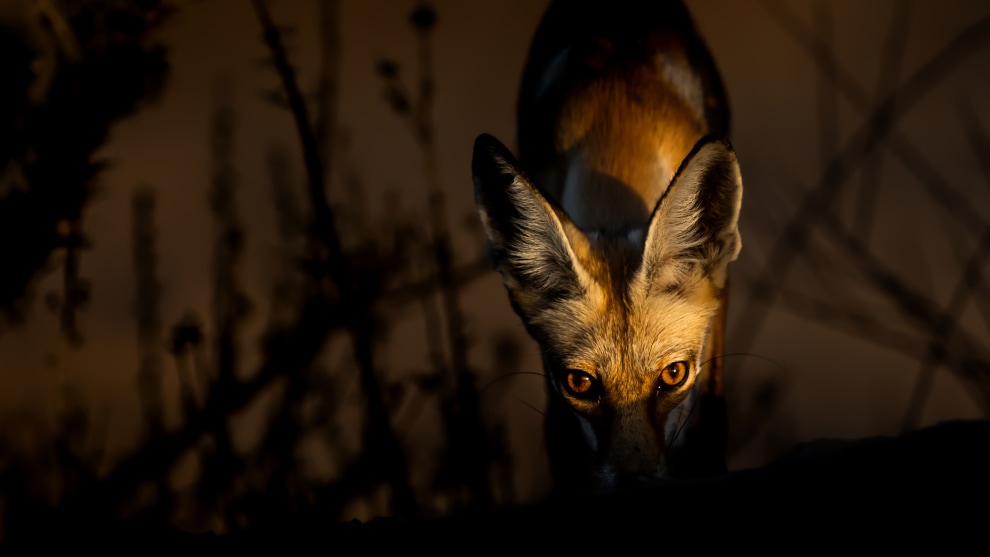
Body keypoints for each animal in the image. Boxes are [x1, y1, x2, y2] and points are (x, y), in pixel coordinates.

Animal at [471, 0, 742, 490]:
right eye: (580, 384)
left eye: (674, 375)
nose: (635, 484)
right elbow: (563, 446)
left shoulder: (718, 304)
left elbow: (709, 428)